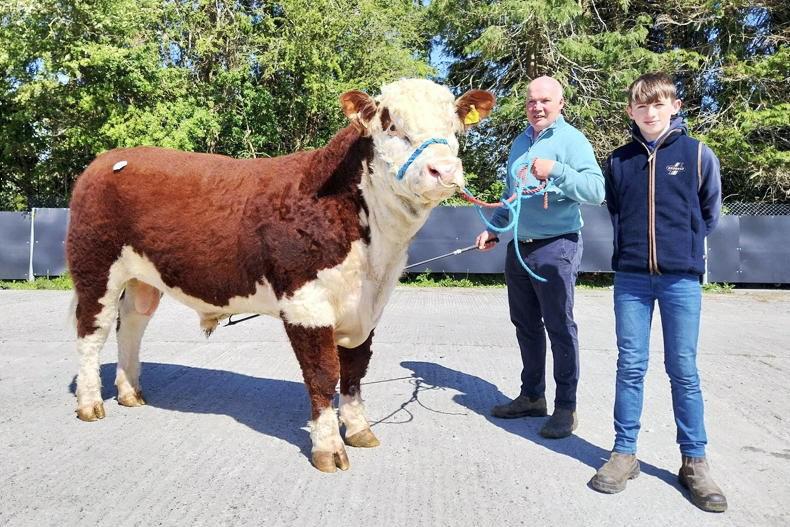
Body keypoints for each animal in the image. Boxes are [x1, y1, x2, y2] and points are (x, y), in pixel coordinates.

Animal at [67, 78, 495, 472]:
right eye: (390, 123)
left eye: (455, 124)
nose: (443, 169)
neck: (376, 252)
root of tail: (107, 160)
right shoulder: (306, 303)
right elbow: (323, 376)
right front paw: (328, 449)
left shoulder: (368, 308)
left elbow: (354, 371)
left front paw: (359, 430)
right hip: (94, 267)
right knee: (93, 332)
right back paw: (90, 403)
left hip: (143, 278)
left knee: (131, 325)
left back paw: (130, 393)